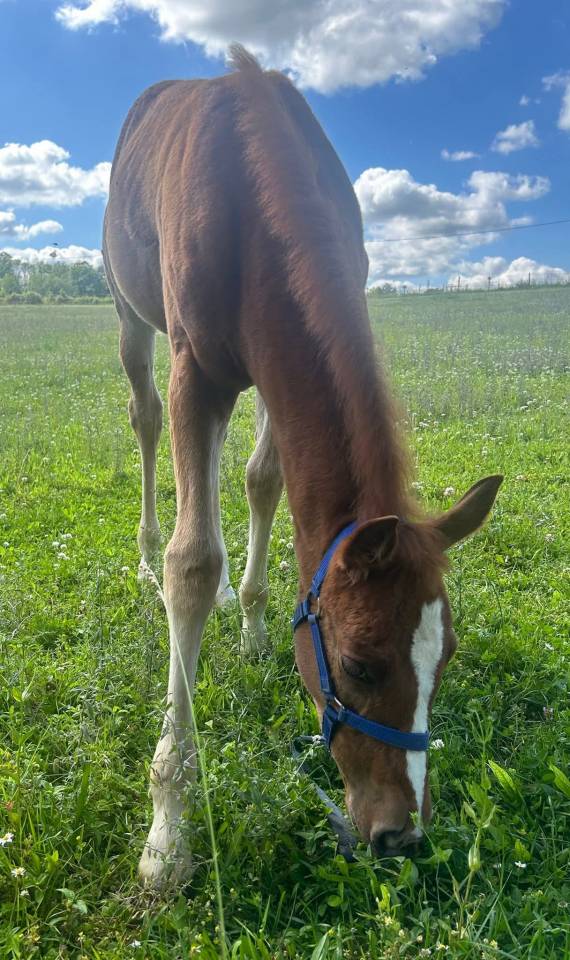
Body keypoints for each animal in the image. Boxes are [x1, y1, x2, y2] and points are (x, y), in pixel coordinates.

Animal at [103, 45, 502, 886]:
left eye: (446, 656)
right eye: (358, 664)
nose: (400, 835)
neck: (250, 190)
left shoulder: (275, 370)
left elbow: (265, 484)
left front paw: (256, 619)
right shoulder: (197, 373)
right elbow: (194, 562)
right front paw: (167, 833)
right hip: (132, 320)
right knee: (145, 423)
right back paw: (147, 553)